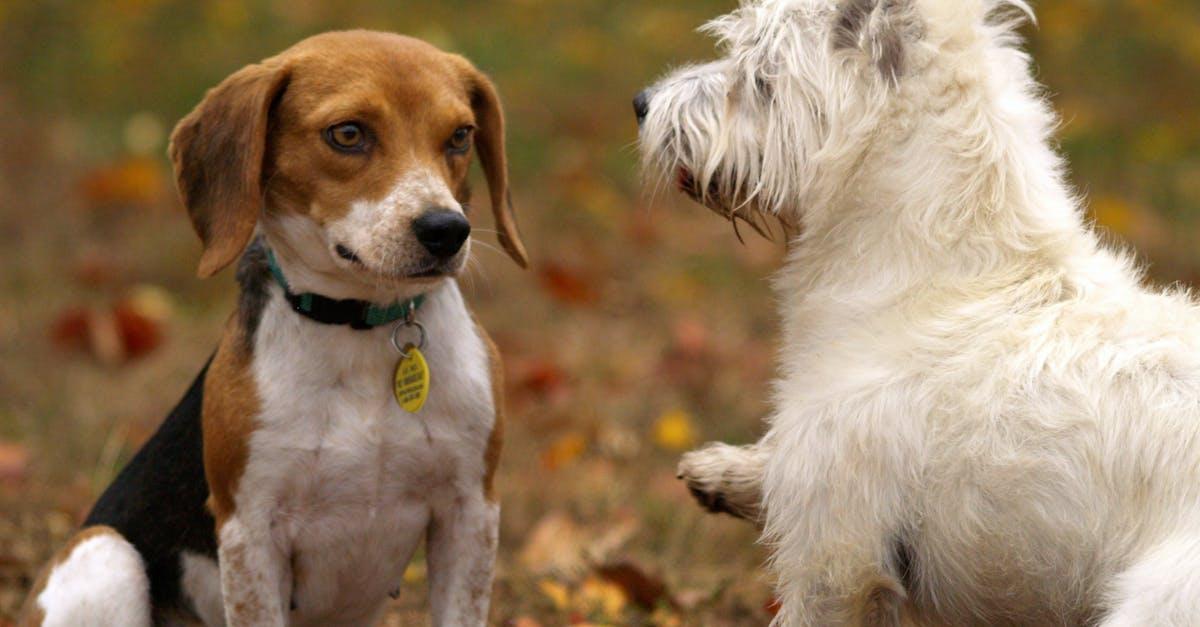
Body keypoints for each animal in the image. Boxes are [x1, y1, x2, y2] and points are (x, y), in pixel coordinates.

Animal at [18, 30, 525, 624]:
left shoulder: (471, 512)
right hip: (105, 554)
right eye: (348, 133)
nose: (447, 230)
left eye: (461, 135)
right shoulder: (250, 532)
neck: (361, 328)